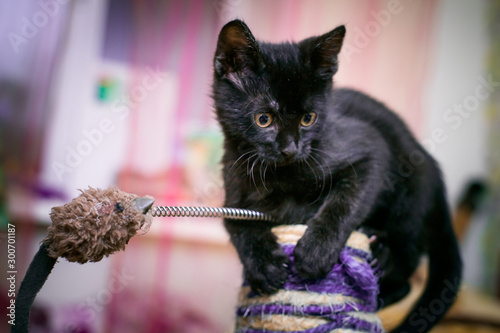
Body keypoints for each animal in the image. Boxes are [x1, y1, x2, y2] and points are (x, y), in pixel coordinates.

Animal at [211, 19, 460, 330]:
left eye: (309, 119)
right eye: (264, 119)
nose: (290, 148)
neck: (281, 174)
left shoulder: (370, 149)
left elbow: (344, 203)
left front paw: (316, 251)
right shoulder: (235, 184)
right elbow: (235, 223)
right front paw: (263, 264)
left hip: (411, 198)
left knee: (405, 272)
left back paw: (378, 260)